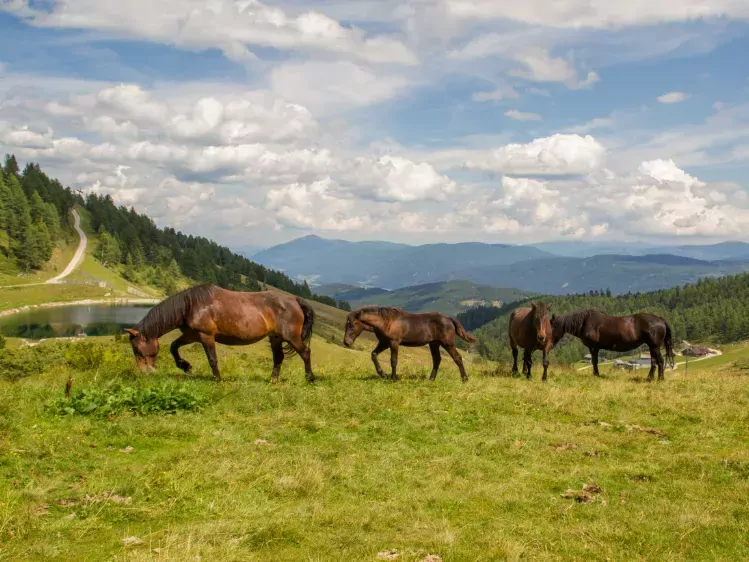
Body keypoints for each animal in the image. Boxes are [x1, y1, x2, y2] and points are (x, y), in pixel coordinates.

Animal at [125, 284, 315, 383]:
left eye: (137, 349)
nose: (145, 372)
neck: (190, 305)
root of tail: (294, 300)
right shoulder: (191, 335)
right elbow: (173, 347)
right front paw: (186, 366)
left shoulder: (206, 335)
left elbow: (212, 359)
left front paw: (217, 380)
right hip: (275, 338)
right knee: (278, 358)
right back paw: (272, 380)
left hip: (291, 337)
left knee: (306, 352)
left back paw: (310, 378)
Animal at [342, 306, 478, 382]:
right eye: (346, 325)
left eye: (353, 325)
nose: (346, 342)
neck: (386, 322)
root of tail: (449, 319)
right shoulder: (384, 342)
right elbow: (374, 354)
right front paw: (383, 374)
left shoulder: (394, 342)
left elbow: (393, 360)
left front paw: (393, 378)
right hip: (434, 343)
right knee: (437, 360)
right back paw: (431, 379)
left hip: (447, 343)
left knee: (457, 358)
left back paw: (465, 379)